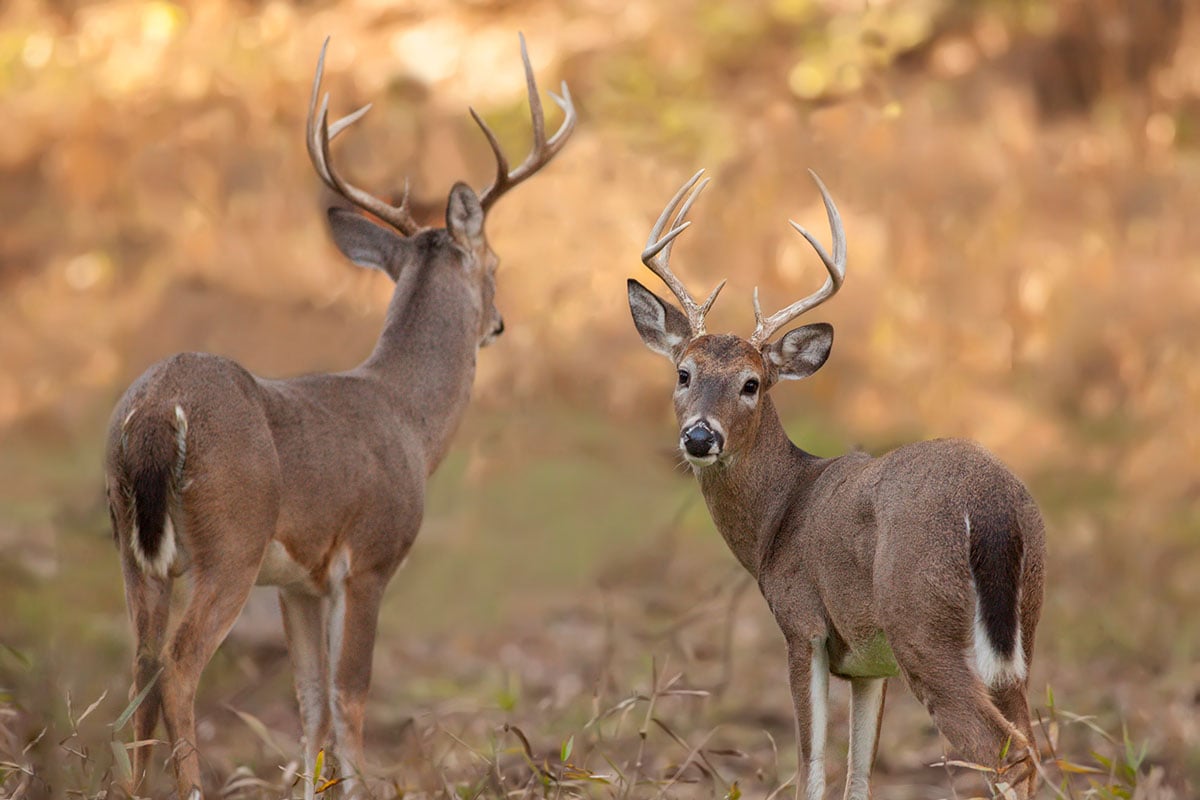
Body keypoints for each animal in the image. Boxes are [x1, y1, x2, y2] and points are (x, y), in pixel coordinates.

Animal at [103, 34, 571, 796]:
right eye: (496, 262)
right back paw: (192, 784)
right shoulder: (374, 556)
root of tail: (151, 414)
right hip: (231, 542)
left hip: (132, 547)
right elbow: (351, 694)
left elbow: (311, 701)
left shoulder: (303, 582)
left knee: (140, 663)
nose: (499, 324)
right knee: (177, 665)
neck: (410, 419)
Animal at [624, 172, 1046, 800]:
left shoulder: (803, 623)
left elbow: (812, 767)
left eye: (752, 383)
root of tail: (990, 505)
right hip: (1022, 629)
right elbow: (858, 775)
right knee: (1035, 745)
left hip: (922, 621)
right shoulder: (870, 662)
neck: (779, 516)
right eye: (684, 373)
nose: (700, 436)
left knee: (1002, 750)